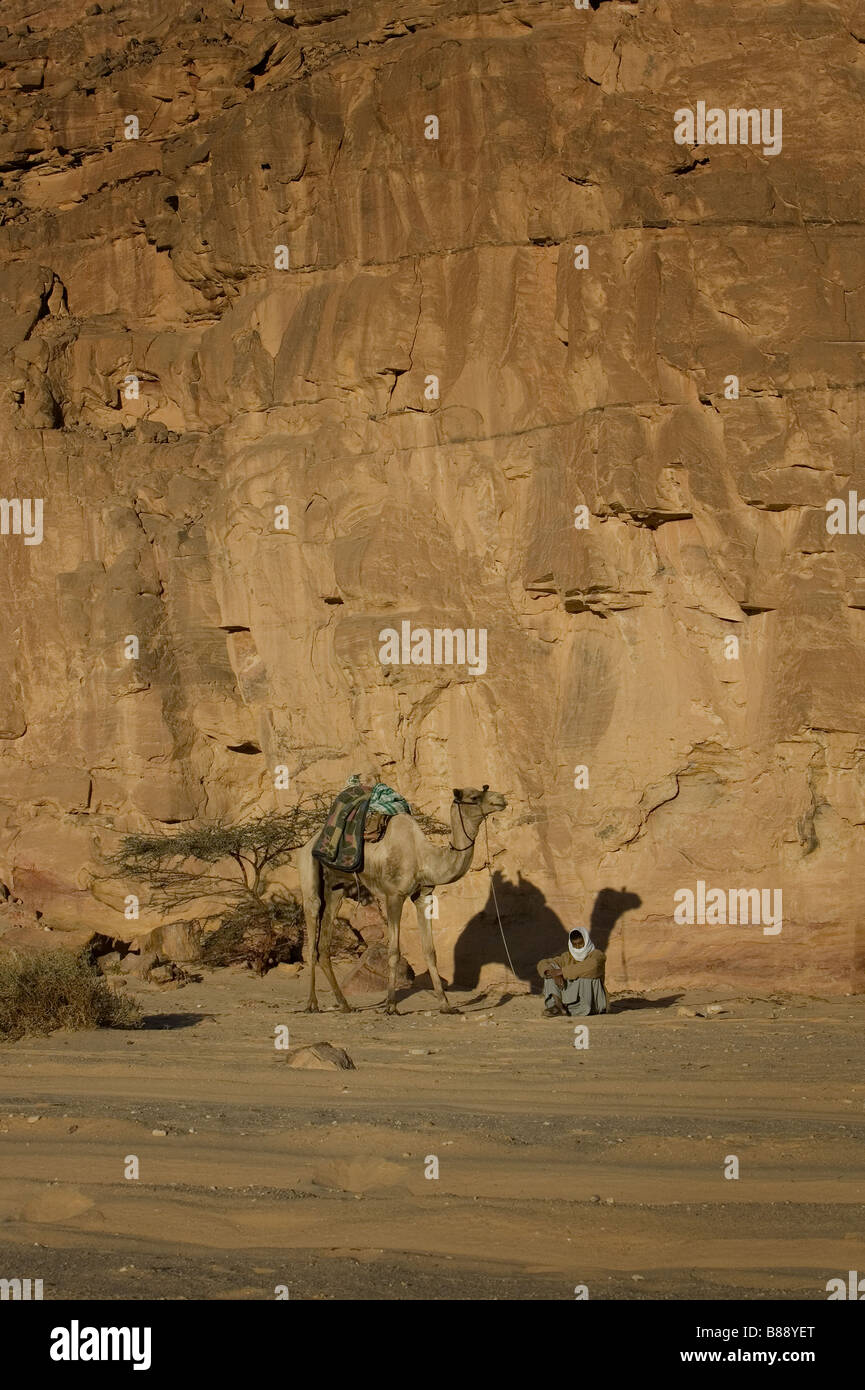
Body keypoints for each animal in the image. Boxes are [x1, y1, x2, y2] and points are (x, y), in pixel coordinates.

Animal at [297, 789, 508, 1017]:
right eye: (474, 796)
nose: (501, 799)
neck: (422, 857)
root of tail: (308, 843)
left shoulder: (423, 896)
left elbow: (430, 951)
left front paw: (446, 1005)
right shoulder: (394, 896)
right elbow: (394, 951)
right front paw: (391, 1005)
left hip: (336, 888)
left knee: (324, 945)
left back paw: (344, 1005)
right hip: (309, 873)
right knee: (313, 938)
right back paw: (312, 1004)